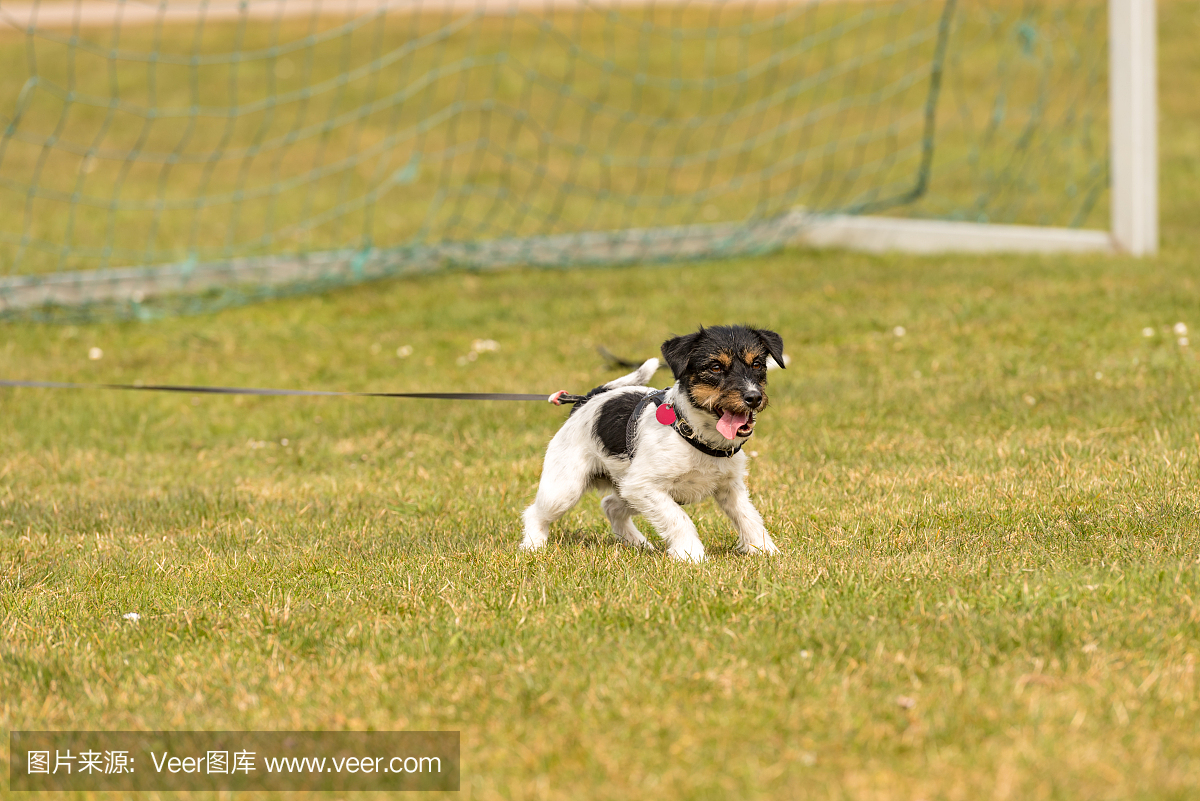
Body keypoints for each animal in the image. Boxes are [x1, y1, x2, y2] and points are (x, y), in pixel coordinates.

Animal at [518, 326, 782, 563]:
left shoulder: (730, 487)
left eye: (757, 365)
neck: (693, 432)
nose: (754, 397)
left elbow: (749, 517)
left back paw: (637, 542)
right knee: (535, 513)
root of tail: (587, 400)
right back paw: (533, 545)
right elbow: (679, 519)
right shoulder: (644, 486)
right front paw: (691, 554)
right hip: (565, 489)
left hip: (626, 490)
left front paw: (765, 549)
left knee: (610, 505)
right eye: (715, 367)